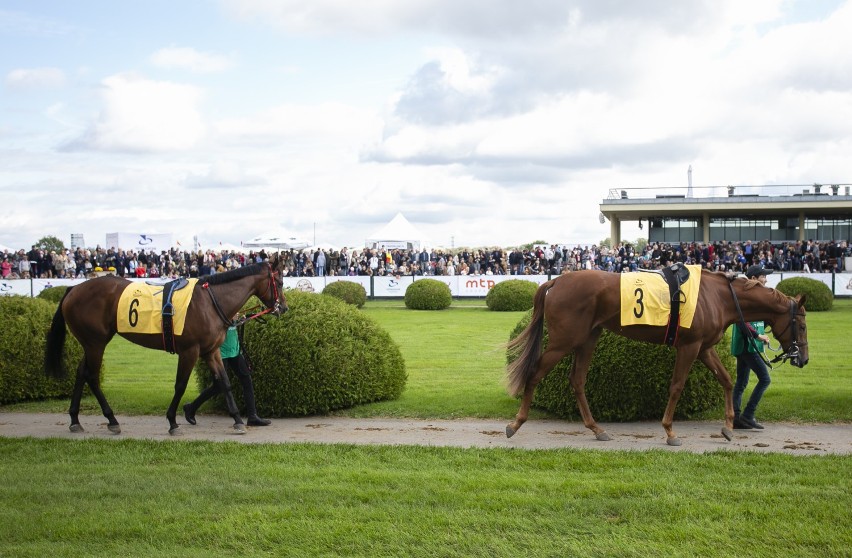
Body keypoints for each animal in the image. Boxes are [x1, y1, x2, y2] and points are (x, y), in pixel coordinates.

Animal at [43, 260, 288, 438]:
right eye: (280, 282)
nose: (283, 308)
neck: (209, 302)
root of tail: (73, 288)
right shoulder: (189, 350)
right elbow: (180, 385)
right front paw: (172, 421)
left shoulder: (211, 351)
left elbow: (225, 382)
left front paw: (237, 420)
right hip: (96, 342)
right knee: (92, 376)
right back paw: (112, 420)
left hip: (91, 342)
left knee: (81, 373)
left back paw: (75, 420)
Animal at [510, 270, 808, 448]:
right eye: (803, 325)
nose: (803, 358)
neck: (718, 296)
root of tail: (557, 280)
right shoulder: (689, 346)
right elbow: (676, 386)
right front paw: (670, 431)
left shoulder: (704, 348)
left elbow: (726, 380)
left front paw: (728, 427)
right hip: (564, 341)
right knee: (534, 374)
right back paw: (516, 423)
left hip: (587, 339)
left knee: (577, 380)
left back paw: (597, 429)